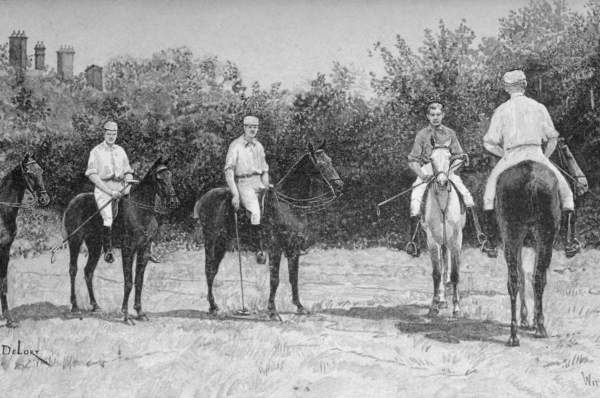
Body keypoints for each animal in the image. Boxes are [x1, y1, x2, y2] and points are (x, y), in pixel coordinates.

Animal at [0, 152, 51, 326]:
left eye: (41, 171)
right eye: (29, 173)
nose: (44, 199)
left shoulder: (6, 249)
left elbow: (3, 282)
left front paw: (8, 319)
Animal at [64, 156, 180, 324]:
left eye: (170, 176)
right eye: (159, 178)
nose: (173, 202)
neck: (140, 212)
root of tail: (73, 202)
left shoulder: (144, 250)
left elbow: (139, 281)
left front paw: (140, 312)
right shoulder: (128, 250)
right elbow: (129, 281)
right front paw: (125, 315)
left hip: (95, 246)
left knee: (88, 272)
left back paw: (95, 306)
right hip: (75, 241)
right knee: (73, 270)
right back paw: (74, 306)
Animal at [195, 143, 344, 320]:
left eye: (330, 161)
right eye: (321, 164)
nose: (340, 186)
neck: (289, 206)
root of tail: (203, 199)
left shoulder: (293, 250)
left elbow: (293, 278)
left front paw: (299, 306)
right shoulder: (275, 249)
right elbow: (275, 279)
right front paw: (273, 311)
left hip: (221, 245)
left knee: (212, 270)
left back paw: (214, 306)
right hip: (211, 242)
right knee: (209, 271)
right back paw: (212, 307)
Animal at [420, 145, 466, 318]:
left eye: (449, 157)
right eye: (431, 159)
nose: (441, 182)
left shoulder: (456, 239)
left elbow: (455, 273)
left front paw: (457, 308)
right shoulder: (432, 240)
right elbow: (436, 273)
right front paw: (433, 306)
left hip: (448, 241)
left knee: (447, 267)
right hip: (441, 241)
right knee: (442, 267)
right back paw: (441, 300)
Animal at [494, 160, 560, 346]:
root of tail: (531, 177)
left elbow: (525, 275)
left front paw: (528, 319)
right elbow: (532, 275)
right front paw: (531, 319)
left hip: (512, 236)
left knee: (515, 280)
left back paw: (515, 334)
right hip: (540, 236)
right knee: (534, 278)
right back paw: (537, 328)